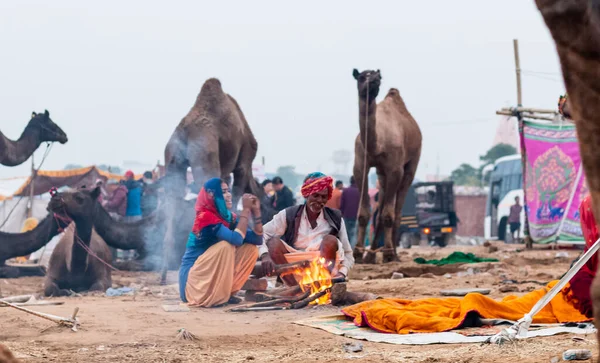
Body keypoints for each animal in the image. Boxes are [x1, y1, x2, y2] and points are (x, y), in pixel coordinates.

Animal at [161, 79, 262, 284]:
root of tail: (185, 130)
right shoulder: (245, 159)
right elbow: (235, 193)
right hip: (205, 156)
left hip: (173, 159)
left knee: (172, 200)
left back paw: (164, 272)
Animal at [352, 69, 422, 264]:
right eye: (361, 76)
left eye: (378, 76)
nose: (374, 80)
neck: (377, 144)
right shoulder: (361, 165)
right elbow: (364, 214)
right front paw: (358, 253)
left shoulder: (395, 168)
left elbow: (388, 215)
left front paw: (389, 254)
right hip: (381, 175)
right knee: (381, 207)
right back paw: (371, 255)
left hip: (412, 163)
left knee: (397, 211)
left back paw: (394, 254)